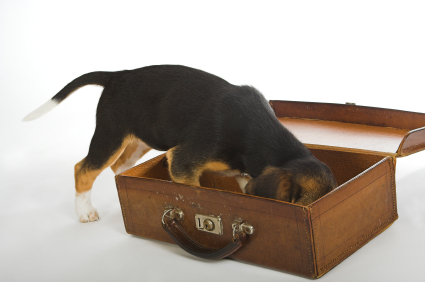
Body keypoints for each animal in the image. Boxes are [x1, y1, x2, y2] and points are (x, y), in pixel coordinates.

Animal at [23, 64, 336, 223]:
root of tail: (118, 75)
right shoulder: (184, 161)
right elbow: (195, 190)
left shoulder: (241, 171)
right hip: (111, 135)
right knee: (84, 169)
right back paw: (85, 211)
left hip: (141, 139)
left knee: (119, 166)